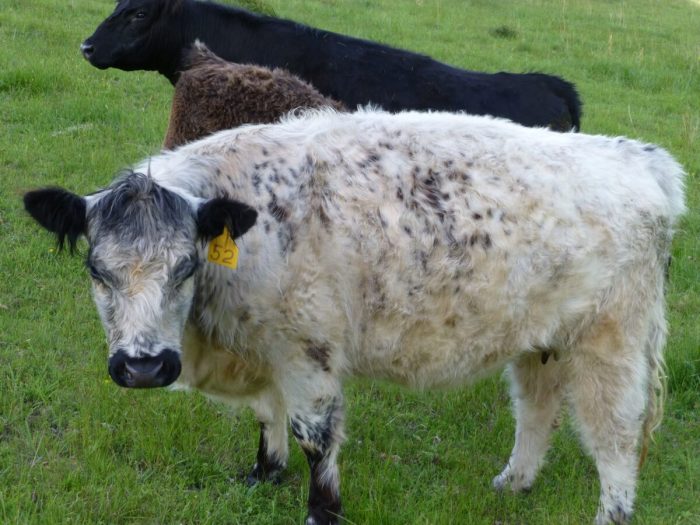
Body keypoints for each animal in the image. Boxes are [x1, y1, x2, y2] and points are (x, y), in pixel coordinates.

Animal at [26, 108, 684, 520]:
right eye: (97, 271)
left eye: (186, 266)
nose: (142, 368)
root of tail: (635, 156)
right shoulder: (266, 347)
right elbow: (267, 415)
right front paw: (264, 473)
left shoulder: (308, 350)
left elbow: (313, 435)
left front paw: (323, 511)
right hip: (539, 338)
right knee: (537, 411)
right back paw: (513, 483)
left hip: (612, 342)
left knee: (615, 435)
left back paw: (611, 512)